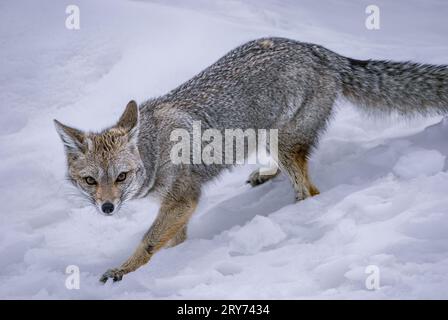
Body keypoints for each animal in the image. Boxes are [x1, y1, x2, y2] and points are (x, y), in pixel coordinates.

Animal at [53, 38, 448, 282]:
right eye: (91, 181)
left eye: (121, 177)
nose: (106, 208)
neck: (155, 148)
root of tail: (320, 51)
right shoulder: (177, 207)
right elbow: (171, 240)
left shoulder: (183, 200)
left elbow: (149, 241)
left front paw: (123, 271)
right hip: (269, 138)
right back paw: (267, 175)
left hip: (287, 145)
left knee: (310, 191)